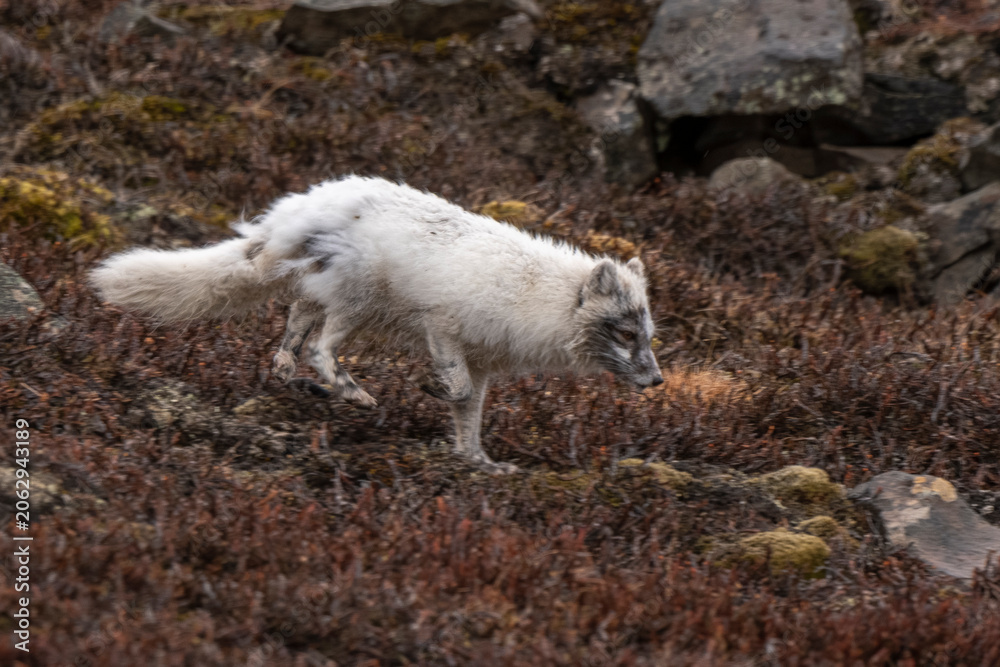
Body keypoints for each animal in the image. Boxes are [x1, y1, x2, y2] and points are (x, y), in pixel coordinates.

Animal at [89, 176, 663, 473]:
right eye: (625, 334)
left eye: (649, 336)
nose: (658, 381)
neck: (537, 297)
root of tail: (294, 216)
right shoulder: (443, 328)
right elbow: (456, 390)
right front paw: (431, 392)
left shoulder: (482, 364)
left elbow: (470, 415)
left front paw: (479, 462)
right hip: (358, 301)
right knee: (320, 348)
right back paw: (352, 393)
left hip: (330, 294)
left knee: (296, 328)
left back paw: (289, 373)